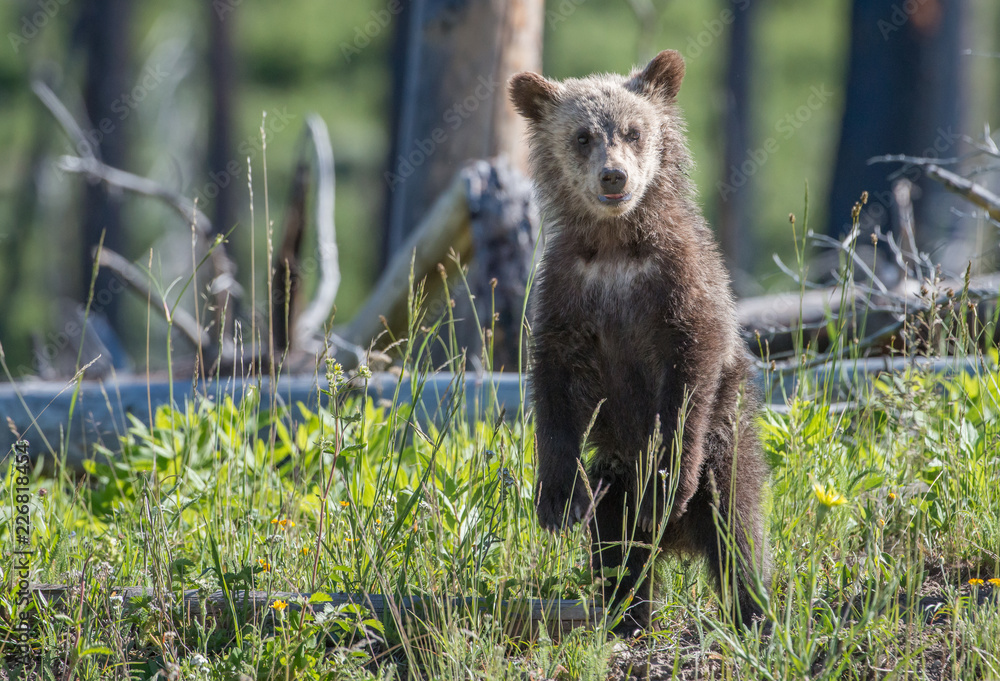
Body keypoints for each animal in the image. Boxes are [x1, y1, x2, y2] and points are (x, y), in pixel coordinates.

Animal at [508, 50, 769, 634]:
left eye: (633, 130)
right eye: (583, 135)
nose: (614, 175)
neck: (615, 246)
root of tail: (678, 542)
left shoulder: (677, 284)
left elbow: (691, 368)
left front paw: (665, 484)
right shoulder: (568, 292)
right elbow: (554, 385)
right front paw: (557, 500)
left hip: (726, 447)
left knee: (736, 528)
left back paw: (754, 613)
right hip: (614, 473)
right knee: (615, 544)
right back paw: (626, 613)